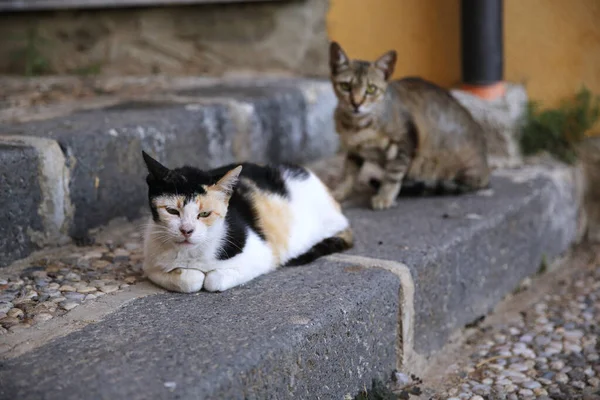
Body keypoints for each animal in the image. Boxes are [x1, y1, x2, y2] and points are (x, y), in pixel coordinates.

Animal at [141, 152, 352, 292]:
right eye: (172, 211)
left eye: (205, 213)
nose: (187, 230)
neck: (191, 255)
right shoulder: (150, 265)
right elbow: (190, 280)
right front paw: (192, 274)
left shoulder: (262, 256)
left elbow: (213, 280)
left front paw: (209, 276)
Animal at [328, 41, 492, 211]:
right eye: (345, 86)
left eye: (371, 89)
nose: (356, 103)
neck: (356, 125)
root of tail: (485, 169)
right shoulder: (354, 150)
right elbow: (348, 174)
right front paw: (339, 192)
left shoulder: (404, 145)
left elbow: (392, 176)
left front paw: (384, 197)